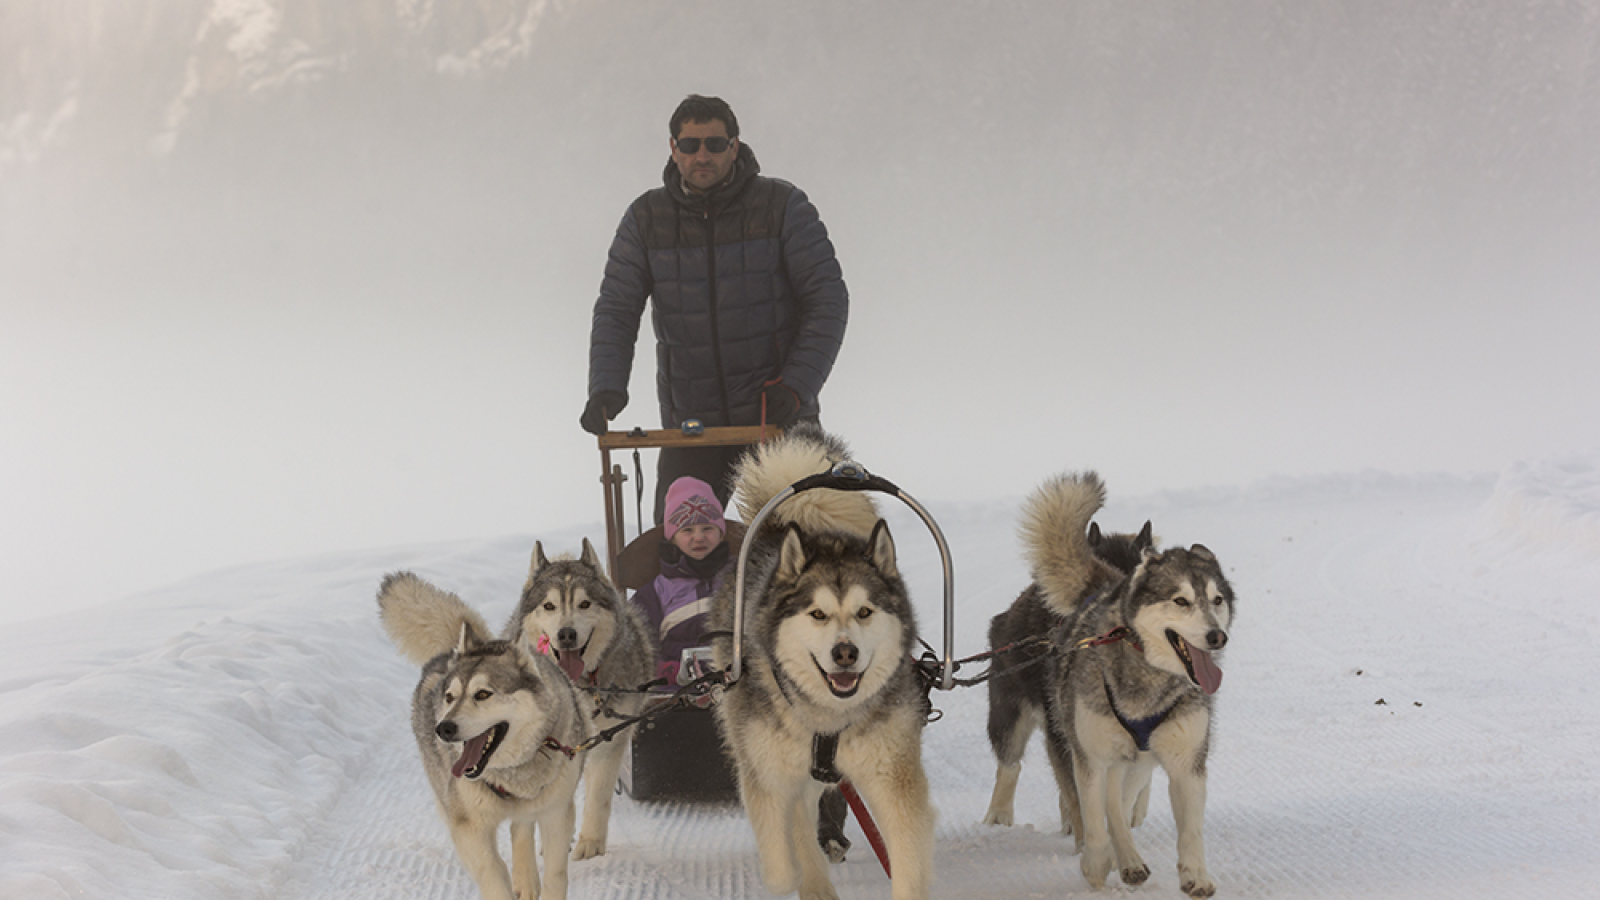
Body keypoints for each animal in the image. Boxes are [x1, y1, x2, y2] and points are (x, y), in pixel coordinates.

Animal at [376, 570, 588, 896]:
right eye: (450, 697)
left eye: (483, 694)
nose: (444, 728)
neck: (512, 778)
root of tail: (451, 651)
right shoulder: (469, 829)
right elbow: (494, 873)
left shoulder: (556, 814)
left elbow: (555, 874)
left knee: (521, 826)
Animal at [505, 534, 656, 858]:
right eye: (549, 606)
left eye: (584, 604)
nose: (566, 634)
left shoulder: (609, 741)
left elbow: (598, 794)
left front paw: (590, 842)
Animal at [707, 422, 934, 896]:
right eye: (817, 614)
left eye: (865, 612)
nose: (844, 653)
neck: (828, 717)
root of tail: (781, 525)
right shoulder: (768, 777)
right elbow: (781, 863)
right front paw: (794, 877)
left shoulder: (894, 780)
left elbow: (907, 853)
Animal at [1017, 474, 1228, 890]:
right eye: (1181, 601)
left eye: (1217, 600)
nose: (1217, 637)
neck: (1150, 682)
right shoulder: (1091, 756)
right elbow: (1097, 817)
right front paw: (1098, 862)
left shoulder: (1185, 759)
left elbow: (1190, 827)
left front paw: (1195, 873)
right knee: (1110, 803)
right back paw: (1121, 857)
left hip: (1140, 758)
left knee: (1124, 796)